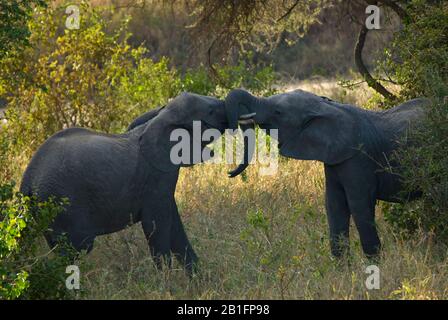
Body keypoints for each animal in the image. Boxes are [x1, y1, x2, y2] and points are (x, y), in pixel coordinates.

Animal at [19, 92, 229, 276]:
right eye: (210, 112)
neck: (160, 117)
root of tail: (26, 182)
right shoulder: (156, 177)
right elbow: (156, 225)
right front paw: (168, 284)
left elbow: (174, 225)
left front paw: (198, 280)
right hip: (62, 204)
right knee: (74, 251)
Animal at [226, 87, 428, 258]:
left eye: (278, 112)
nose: (229, 173)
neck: (327, 106)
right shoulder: (335, 160)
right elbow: (334, 205)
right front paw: (343, 271)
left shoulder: (358, 159)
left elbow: (359, 205)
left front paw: (375, 266)